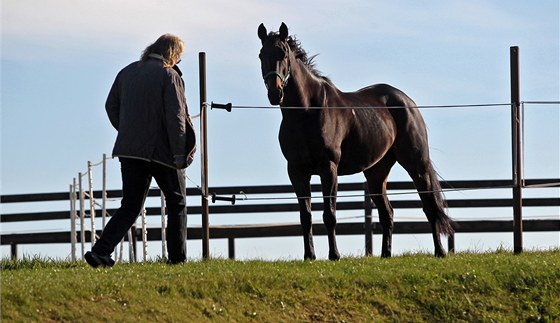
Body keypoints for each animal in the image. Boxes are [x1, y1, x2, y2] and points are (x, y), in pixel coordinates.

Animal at [258, 22, 456, 260]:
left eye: (283, 53)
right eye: (261, 55)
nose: (274, 93)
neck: (306, 112)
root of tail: (407, 102)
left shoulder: (329, 168)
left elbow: (329, 214)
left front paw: (334, 255)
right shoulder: (297, 171)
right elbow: (305, 216)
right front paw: (309, 256)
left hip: (416, 164)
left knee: (430, 206)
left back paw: (440, 251)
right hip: (376, 172)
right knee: (387, 213)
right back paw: (385, 254)